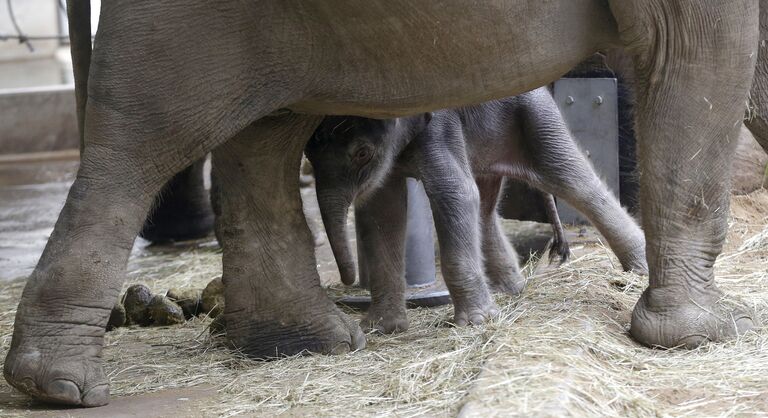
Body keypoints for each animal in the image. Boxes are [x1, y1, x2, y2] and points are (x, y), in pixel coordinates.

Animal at [306, 87, 648, 334]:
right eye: (307, 154)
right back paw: (509, 291)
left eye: (362, 153)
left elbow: (454, 191)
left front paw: (475, 323)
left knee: (571, 179)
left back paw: (639, 270)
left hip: (537, 117)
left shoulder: (439, 127)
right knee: (484, 206)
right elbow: (381, 210)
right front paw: (380, 329)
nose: (346, 280)